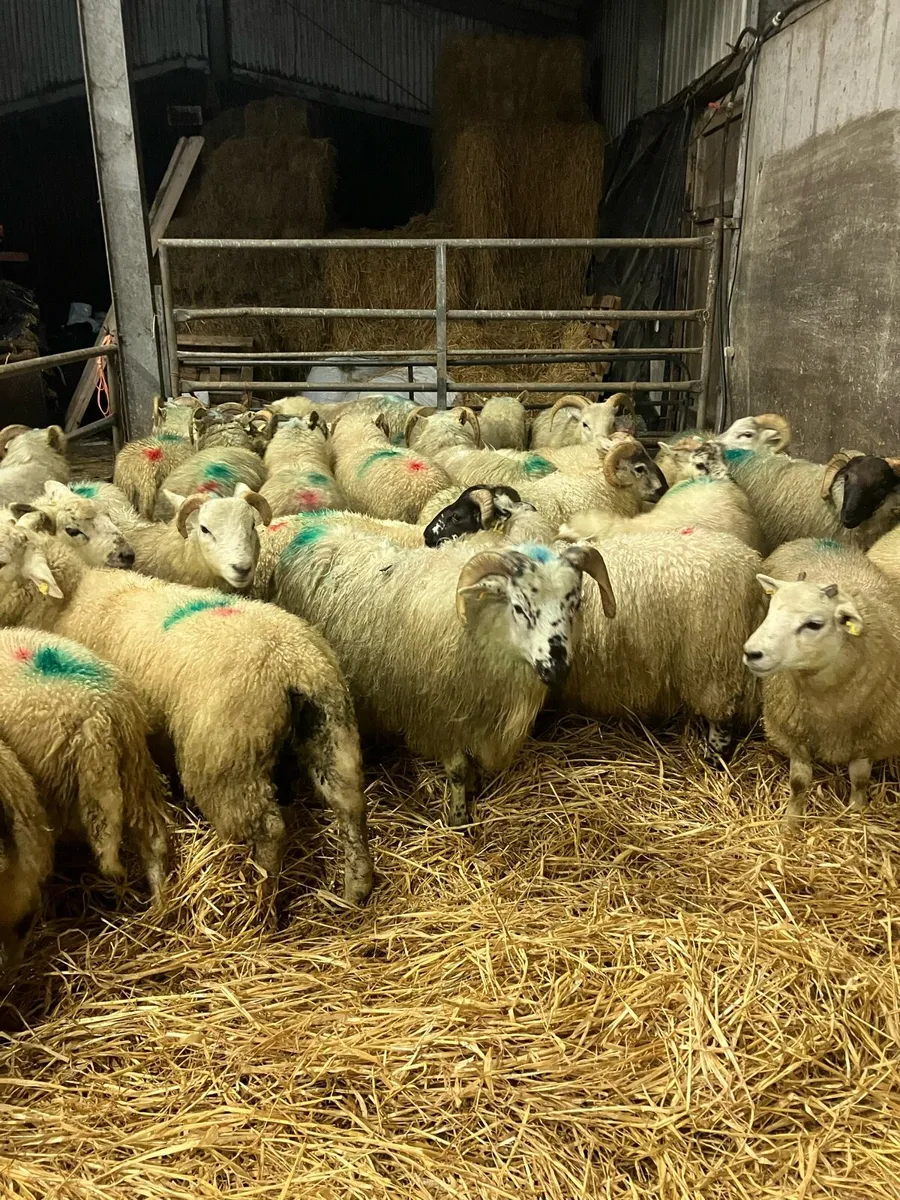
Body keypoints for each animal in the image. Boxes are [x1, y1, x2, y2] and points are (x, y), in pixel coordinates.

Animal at [272, 525, 615, 825]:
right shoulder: (441, 716)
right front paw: (459, 818)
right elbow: (458, 770)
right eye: (519, 607)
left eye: (576, 603)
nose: (555, 667)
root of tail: (315, 531)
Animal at [744, 537, 900, 824]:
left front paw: (856, 811)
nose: (752, 653)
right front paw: (791, 821)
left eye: (814, 624)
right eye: (771, 610)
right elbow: (798, 782)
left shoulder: (869, 738)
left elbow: (860, 778)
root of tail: (811, 539)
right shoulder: (793, 733)